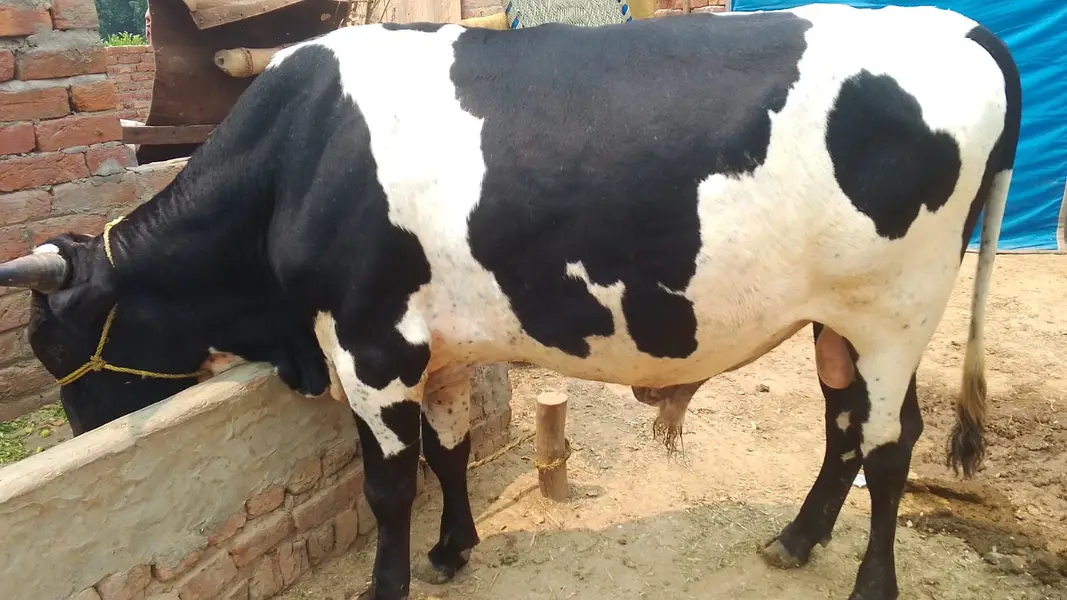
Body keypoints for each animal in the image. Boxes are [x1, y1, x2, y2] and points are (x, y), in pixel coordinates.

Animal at [0, 4, 1021, 599]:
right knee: (845, 424)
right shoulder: (434, 342)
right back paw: (796, 539)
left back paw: (868, 584)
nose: (89, 434)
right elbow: (449, 450)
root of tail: (957, 27)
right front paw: (454, 550)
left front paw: (387, 585)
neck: (297, 154)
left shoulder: (369, 346)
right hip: (835, 319)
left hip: (895, 308)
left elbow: (390, 483)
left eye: (58, 350)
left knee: (889, 445)